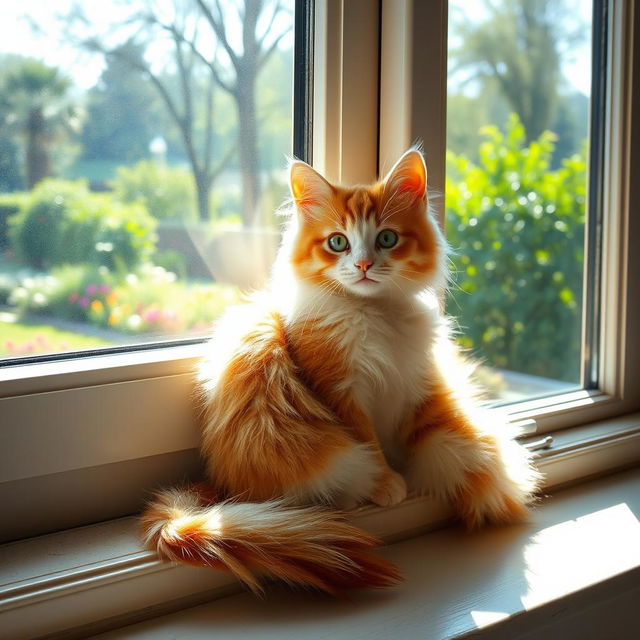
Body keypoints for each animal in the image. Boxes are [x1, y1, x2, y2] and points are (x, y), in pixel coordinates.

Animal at [140, 149, 540, 596]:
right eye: (337, 242)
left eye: (387, 239)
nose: (363, 264)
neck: (373, 313)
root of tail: (222, 486)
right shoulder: (339, 389)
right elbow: (370, 442)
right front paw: (388, 483)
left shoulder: (409, 382)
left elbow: (424, 432)